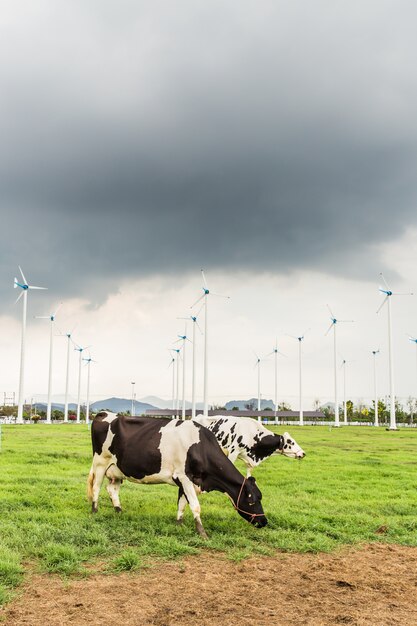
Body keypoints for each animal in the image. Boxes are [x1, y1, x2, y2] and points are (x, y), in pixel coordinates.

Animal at [87, 410, 266, 536]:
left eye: (260, 497)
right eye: (252, 501)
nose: (264, 521)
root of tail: (104, 413)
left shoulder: (185, 481)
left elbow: (182, 504)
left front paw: (179, 524)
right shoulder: (184, 477)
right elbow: (195, 506)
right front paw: (202, 533)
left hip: (118, 470)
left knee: (112, 489)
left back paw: (119, 510)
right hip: (101, 462)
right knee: (96, 487)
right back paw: (94, 511)